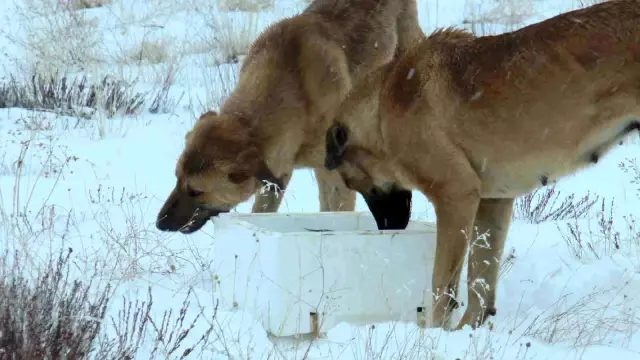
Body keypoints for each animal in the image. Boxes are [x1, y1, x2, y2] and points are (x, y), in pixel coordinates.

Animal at [324, 0, 640, 330]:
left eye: (356, 185)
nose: (388, 229)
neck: (382, 106)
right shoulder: (492, 202)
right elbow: (481, 282)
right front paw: (466, 332)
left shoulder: (456, 195)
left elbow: (442, 285)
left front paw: (434, 333)